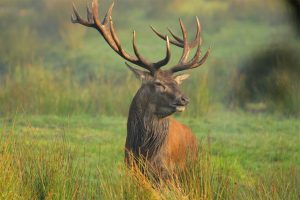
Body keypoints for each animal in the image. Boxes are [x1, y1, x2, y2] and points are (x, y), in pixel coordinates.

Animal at [71, 0, 210, 178]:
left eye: (177, 83)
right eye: (158, 83)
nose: (184, 99)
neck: (143, 151)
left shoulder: (166, 172)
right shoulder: (131, 167)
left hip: (190, 169)